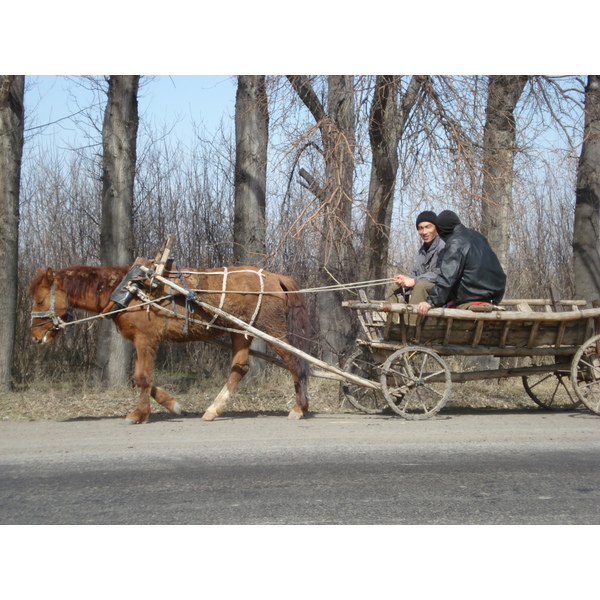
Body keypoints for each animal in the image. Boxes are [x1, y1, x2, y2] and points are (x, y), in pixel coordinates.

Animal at [28, 262, 312, 422]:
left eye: (40, 300)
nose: (35, 336)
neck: (129, 290)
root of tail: (274, 276)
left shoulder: (145, 339)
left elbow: (142, 377)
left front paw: (138, 415)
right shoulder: (143, 341)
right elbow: (141, 379)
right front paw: (173, 405)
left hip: (271, 330)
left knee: (294, 361)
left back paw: (300, 408)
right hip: (240, 331)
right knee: (239, 368)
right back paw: (213, 410)